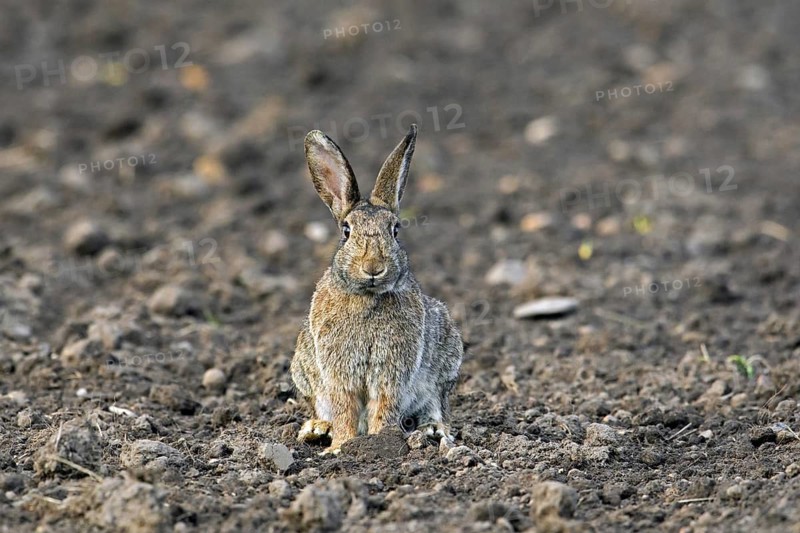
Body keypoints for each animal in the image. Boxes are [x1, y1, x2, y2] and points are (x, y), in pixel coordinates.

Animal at [290, 124, 463, 454]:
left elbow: (384, 405)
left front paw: (379, 442)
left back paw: (433, 430)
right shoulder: (337, 372)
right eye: (346, 231)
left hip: (445, 364)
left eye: (395, 230)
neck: (367, 298)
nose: (373, 267)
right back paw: (316, 429)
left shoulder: (394, 371)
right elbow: (343, 407)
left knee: (436, 403)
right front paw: (341, 446)